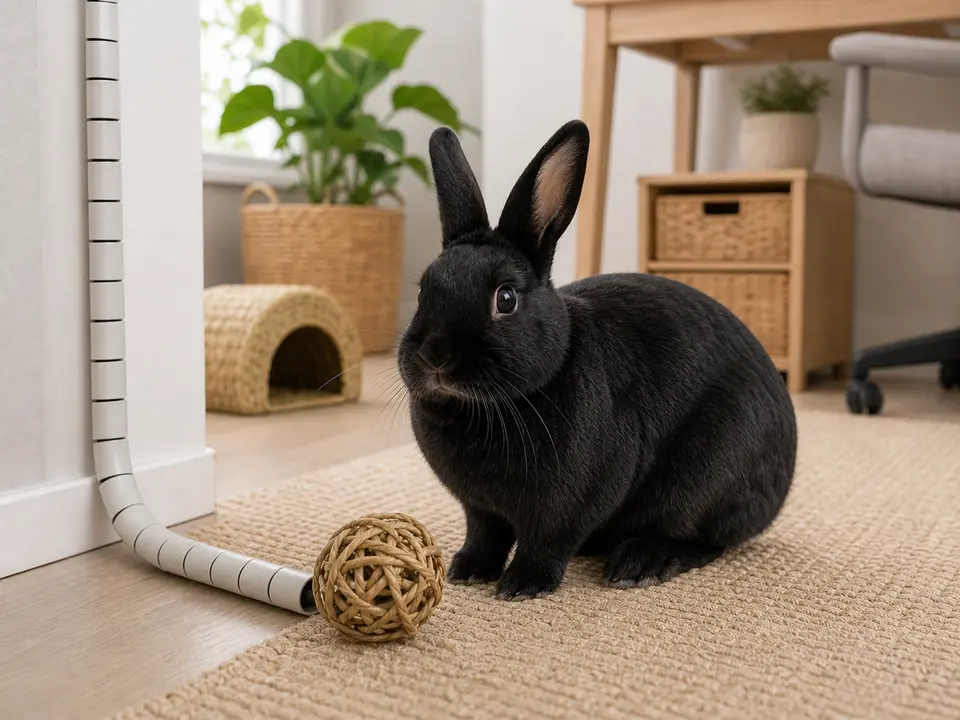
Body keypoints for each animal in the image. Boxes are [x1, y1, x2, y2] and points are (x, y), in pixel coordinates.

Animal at [397, 119, 797, 601]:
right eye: (424, 290)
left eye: (506, 298)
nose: (435, 355)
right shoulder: (480, 508)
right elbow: (485, 536)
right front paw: (469, 570)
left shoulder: (571, 504)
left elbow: (547, 542)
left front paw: (523, 585)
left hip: (705, 478)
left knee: (702, 539)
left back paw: (639, 564)